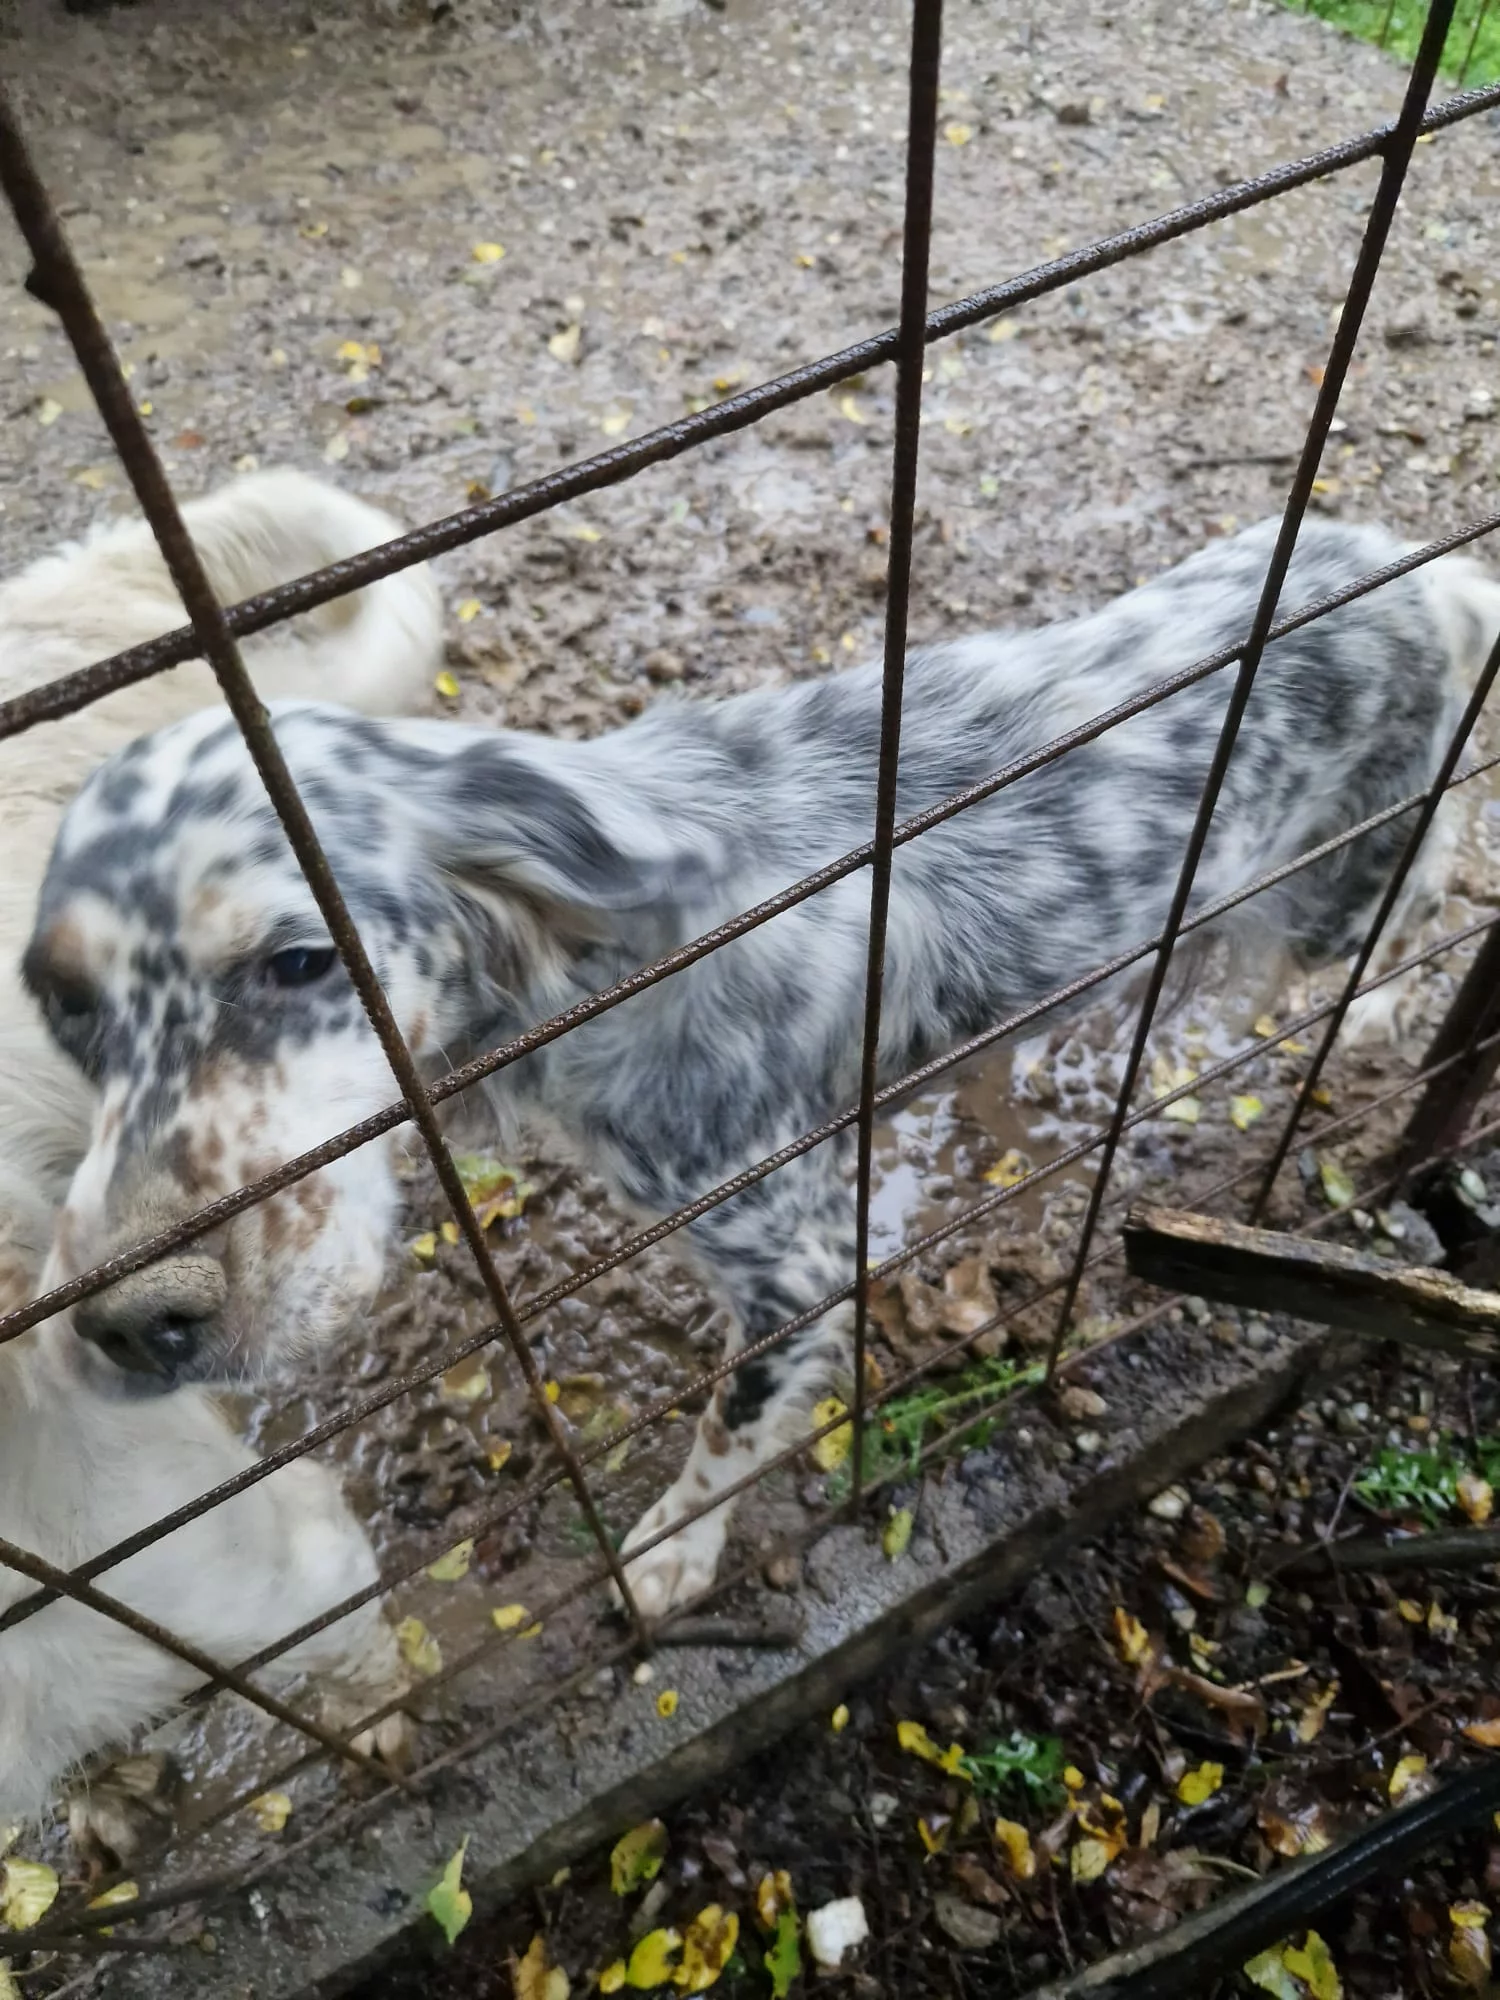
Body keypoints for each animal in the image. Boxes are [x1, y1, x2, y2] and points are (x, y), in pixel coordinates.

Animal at [26, 512, 1500, 1608]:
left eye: (297, 961)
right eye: (62, 1007)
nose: (134, 1323)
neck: (614, 962)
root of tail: (1434, 570)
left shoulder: (793, 1263)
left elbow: (728, 1429)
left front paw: (675, 1551)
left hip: (1333, 893)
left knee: (1429, 877)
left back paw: (1381, 1016)